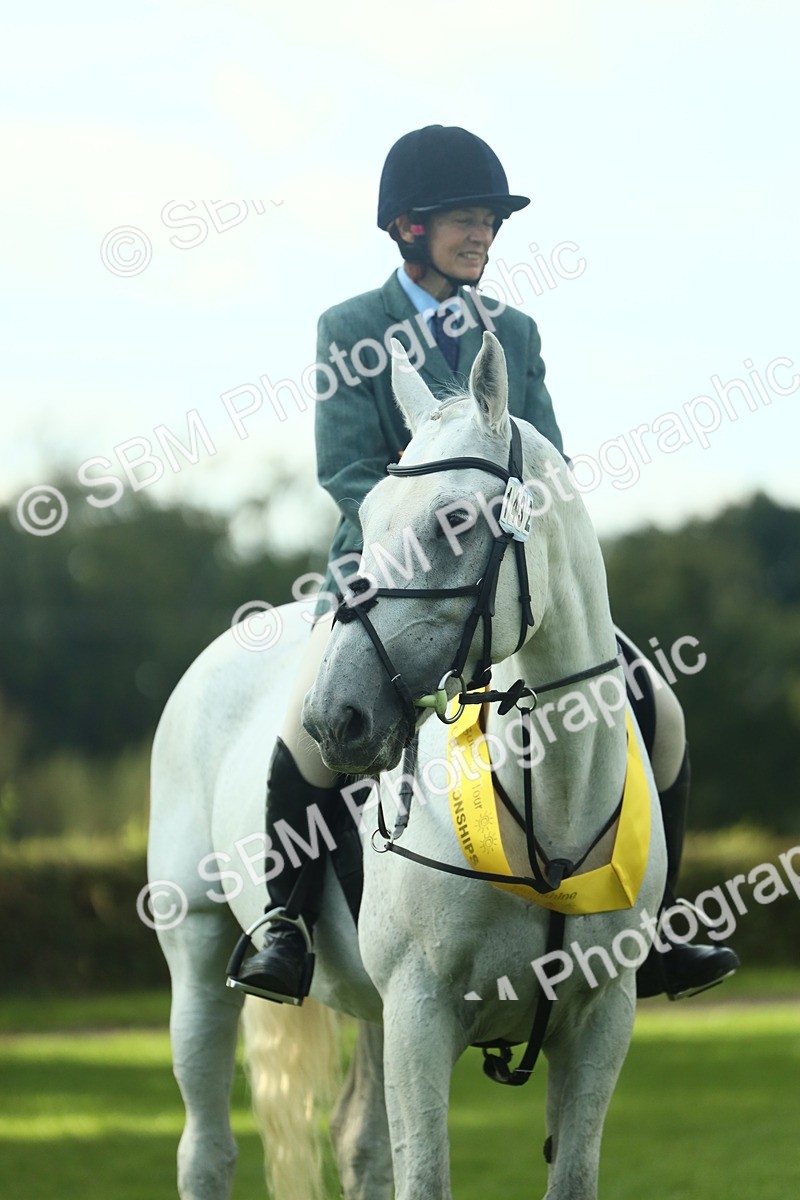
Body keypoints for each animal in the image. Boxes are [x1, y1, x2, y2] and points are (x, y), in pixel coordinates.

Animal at [149, 330, 667, 1200]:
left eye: (455, 519)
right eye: (365, 518)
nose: (334, 720)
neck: (547, 802)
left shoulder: (601, 1017)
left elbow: (569, 1176)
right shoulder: (422, 1013)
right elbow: (423, 1177)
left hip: (372, 1008)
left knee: (359, 1142)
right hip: (198, 947)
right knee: (205, 1149)